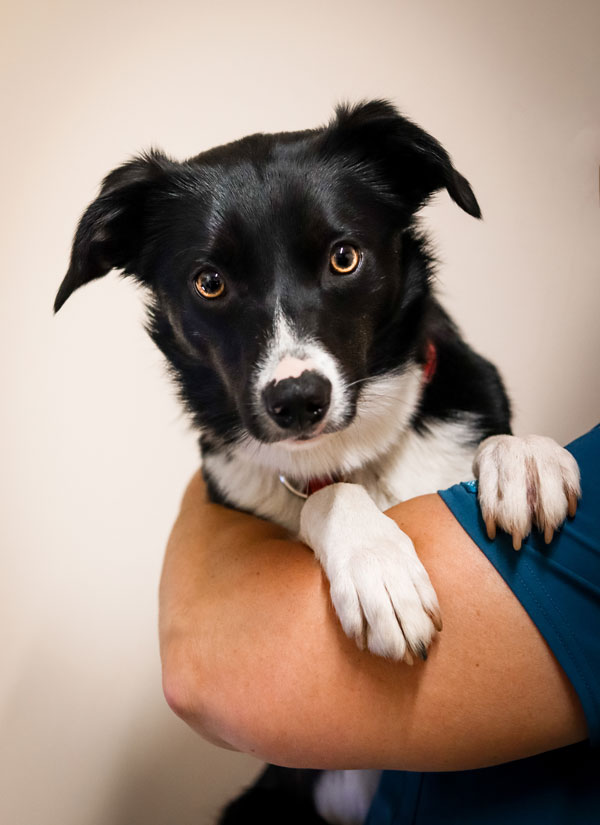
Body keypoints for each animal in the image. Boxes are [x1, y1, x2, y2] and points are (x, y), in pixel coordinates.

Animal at [56, 100, 580, 820]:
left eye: (344, 257)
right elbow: (325, 495)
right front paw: (377, 565)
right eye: (209, 283)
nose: (297, 400)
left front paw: (525, 459)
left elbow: (498, 439)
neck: (355, 450)